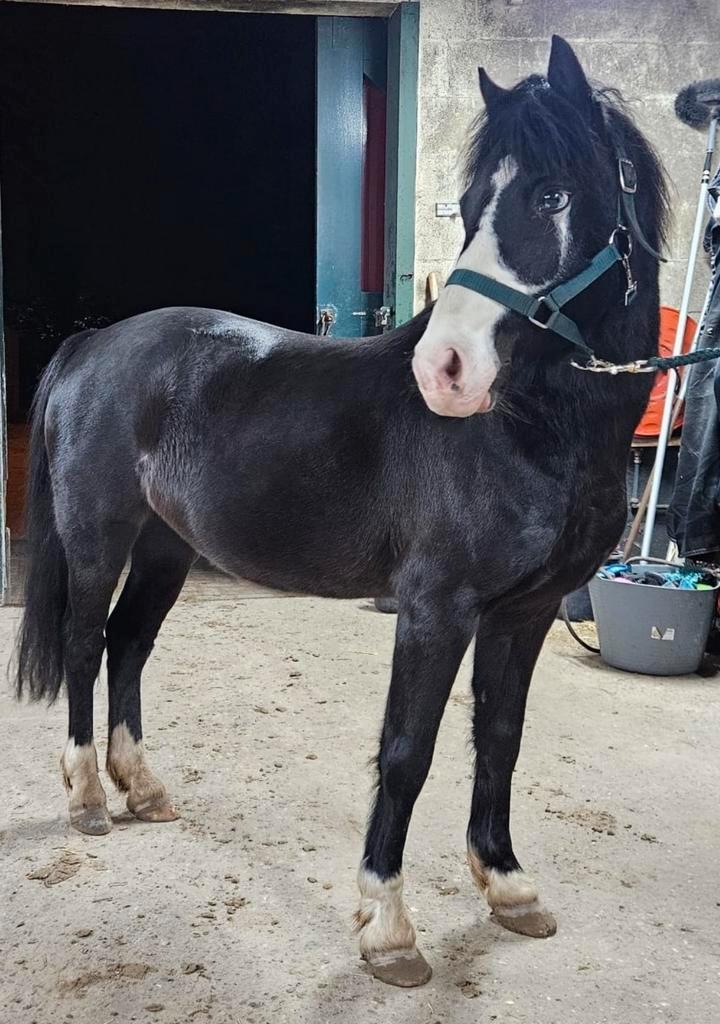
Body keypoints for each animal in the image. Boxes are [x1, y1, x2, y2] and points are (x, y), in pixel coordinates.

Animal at [15, 36, 667, 988]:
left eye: (551, 194)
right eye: (474, 202)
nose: (444, 370)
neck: (531, 424)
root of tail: (95, 344)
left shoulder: (529, 613)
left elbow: (500, 738)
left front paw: (508, 886)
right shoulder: (437, 609)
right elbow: (407, 752)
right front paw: (388, 926)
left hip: (168, 548)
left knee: (130, 643)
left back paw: (145, 788)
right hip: (100, 538)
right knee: (85, 644)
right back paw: (91, 797)